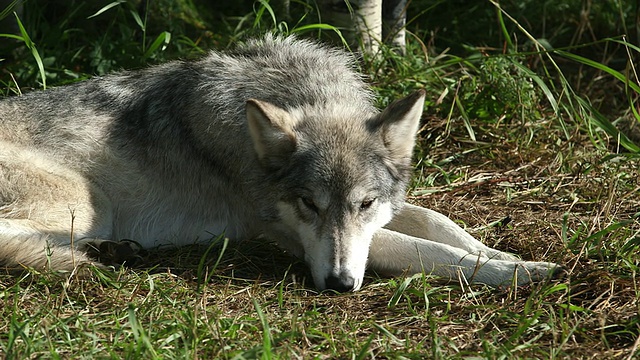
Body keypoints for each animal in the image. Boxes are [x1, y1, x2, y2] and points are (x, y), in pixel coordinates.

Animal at [0, 34, 560, 292]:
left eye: (365, 204)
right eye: (308, 204)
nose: (338, 285)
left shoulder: (385, 212)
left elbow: (442, 224)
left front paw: (505, 254)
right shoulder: (287, 234)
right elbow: (435, 252)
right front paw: (522, 271)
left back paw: (115, 251)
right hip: (85, 201)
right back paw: (86, 257)